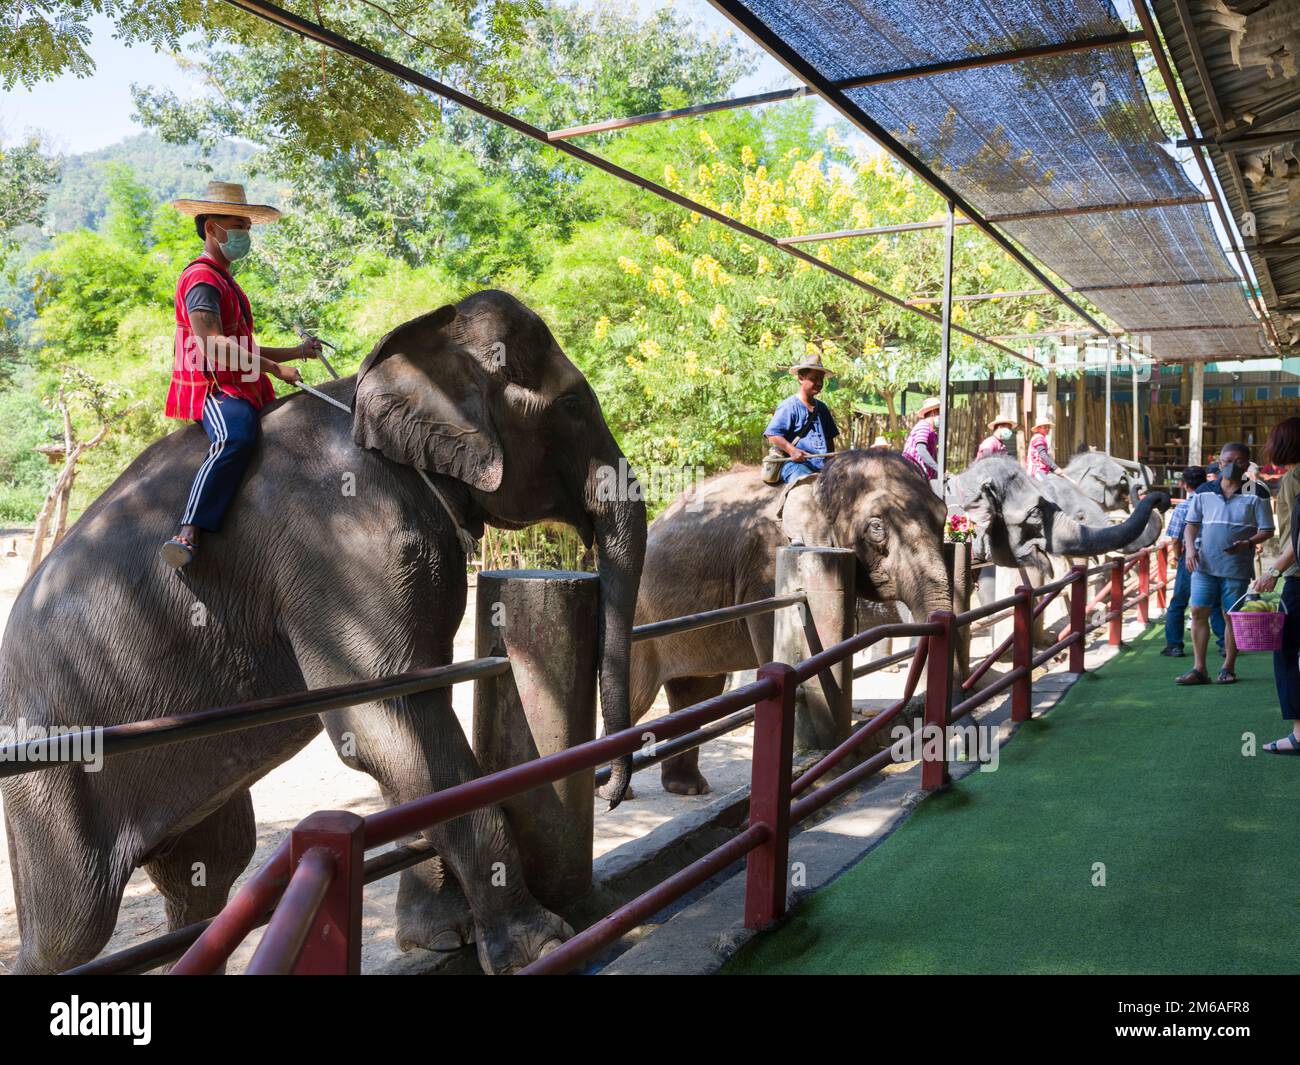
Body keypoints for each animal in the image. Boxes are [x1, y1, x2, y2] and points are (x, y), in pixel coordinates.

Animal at [0, 291, 650, 972]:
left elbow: (410, 714)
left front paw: (441, 936)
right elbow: (386, 719)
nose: (612, 792)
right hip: (50, 761)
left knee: (207, 873)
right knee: (70, 927)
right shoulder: (338, 545)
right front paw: (543, 943)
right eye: (572, 406)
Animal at [616, 449, 946, 801]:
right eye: (876, 526)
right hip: (640, 620)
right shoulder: (766, 568)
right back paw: (623, 793)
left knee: (696, 692)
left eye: (943, 517)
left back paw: (689, 788)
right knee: (638, 696)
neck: (819, 482)